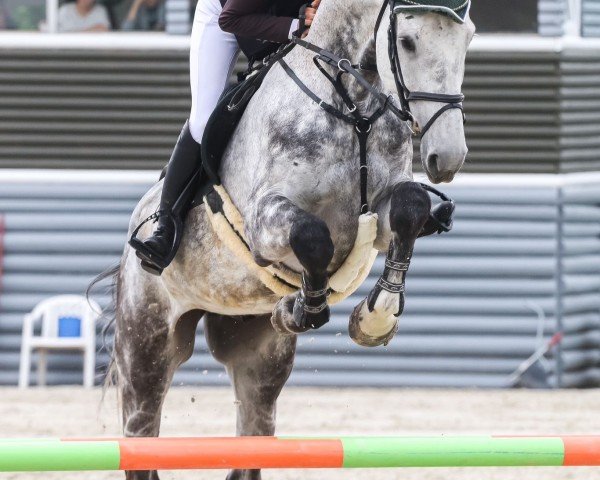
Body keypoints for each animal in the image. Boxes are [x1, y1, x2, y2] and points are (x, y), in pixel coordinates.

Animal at [112, 0, 476, 478]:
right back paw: (159, 241)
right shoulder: (264, 222)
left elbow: (410, 208)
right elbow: (312, 236)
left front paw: (373, 318)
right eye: (407, 41)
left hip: (257, 359)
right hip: (147, 348)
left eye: (468, 39)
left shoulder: (379, 214)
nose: (447, 158)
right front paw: (304, 307)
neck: (354, 109)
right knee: (141, 430)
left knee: (252, 433)